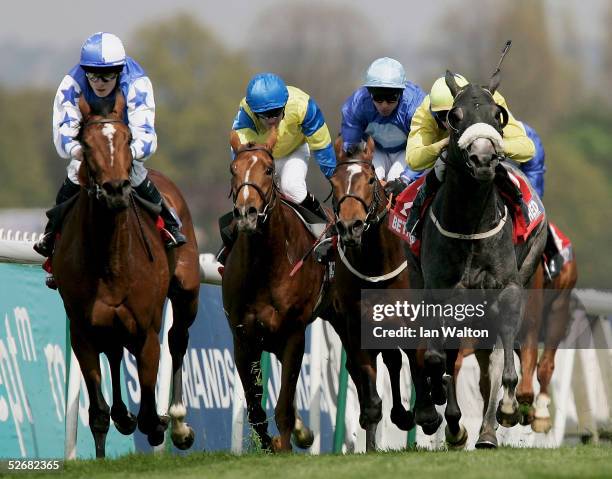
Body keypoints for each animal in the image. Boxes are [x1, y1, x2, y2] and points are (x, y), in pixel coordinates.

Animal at [52, 93, 200, 458]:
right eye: (85, 144)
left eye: (128, 138)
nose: (116, 189)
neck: (112, 260)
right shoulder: (83, 332)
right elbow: (98, 413)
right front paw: (111, 434)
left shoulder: (146, 331)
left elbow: (148, 413)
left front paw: (160, 424)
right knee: (116, 353)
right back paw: (124, 415)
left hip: (186, 292)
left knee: (177, 339)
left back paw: (178, 423)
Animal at [222, 129, 322, 452]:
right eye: (233, 169)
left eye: (268, 169)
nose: (247, 213)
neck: (264, 266)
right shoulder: (243, 339)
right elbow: (255, 410)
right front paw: (270, 445)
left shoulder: (294, 334)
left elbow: (283, 407)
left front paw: (286, 445)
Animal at [322, 137, 438, 452]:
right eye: (333, 182)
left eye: (371, 180)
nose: (350, 227)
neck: (376, 262)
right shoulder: (356, 324)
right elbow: (369, 377)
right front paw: (372, 437)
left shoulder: (414, 320)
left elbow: (418, 359)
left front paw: (427, 413)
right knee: (387, 362)